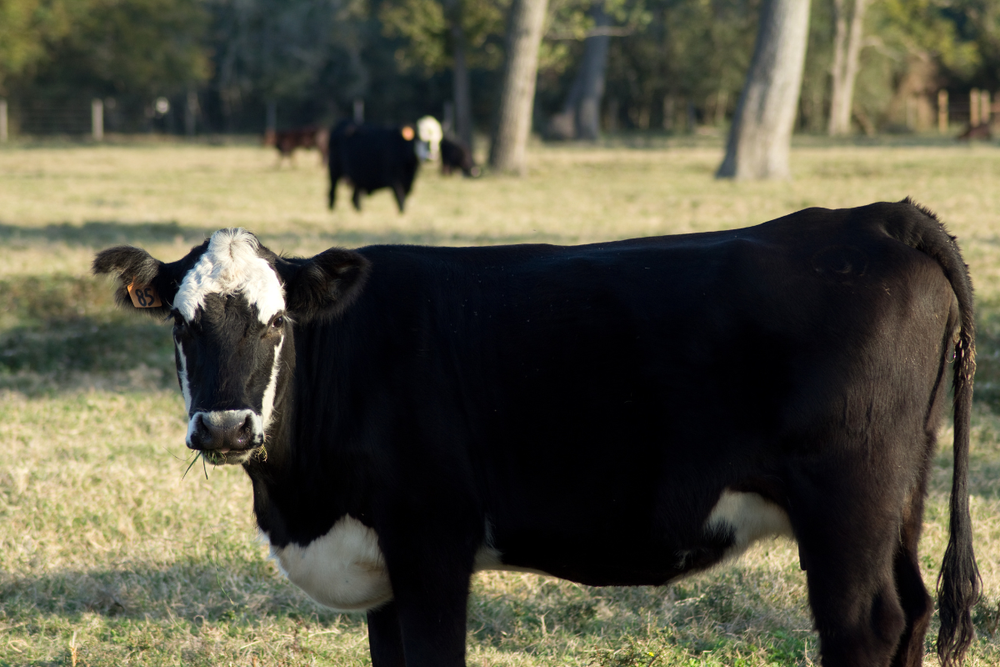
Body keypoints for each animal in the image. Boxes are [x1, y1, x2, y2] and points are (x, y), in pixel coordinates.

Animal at [93, 199, 979, 667]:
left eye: (275, 322)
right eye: (182, 324)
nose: (225, 425)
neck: (301, 503)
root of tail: (875, 219)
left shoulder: (432, 544)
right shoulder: (382, 562)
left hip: (846, 504)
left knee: (867, 624)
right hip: (900, 496)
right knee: (912, 609)